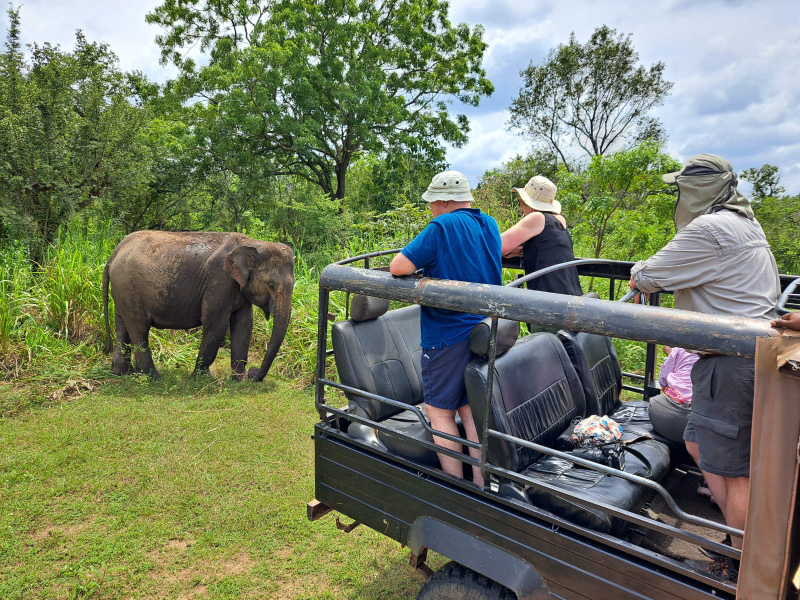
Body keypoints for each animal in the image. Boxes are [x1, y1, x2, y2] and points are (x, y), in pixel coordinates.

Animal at [102, 230, 294, 381]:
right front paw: (201, 379)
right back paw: (154, 378)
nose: (253, 373)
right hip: (129, 287)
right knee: (139, 328)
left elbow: (244, 324)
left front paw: (239, 381)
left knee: (122, 326)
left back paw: (122, 373)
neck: (253, 243)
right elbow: (215, 322)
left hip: (122, 291)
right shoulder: (220, 281)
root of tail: (115, 252)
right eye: (271, 284)